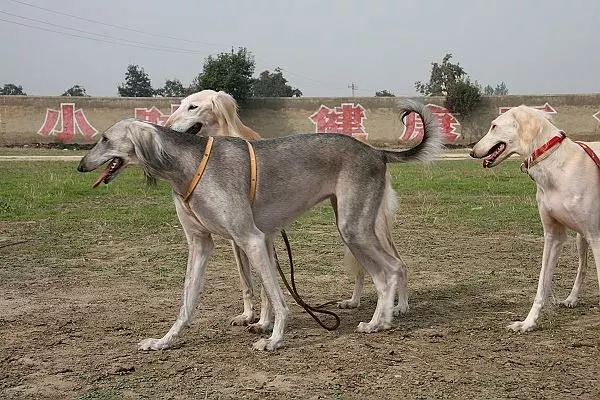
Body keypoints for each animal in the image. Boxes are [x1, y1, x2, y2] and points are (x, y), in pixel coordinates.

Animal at [77, 100, 442, 350]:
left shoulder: (250, 238)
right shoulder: (204, 244)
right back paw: (380, 320)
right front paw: (164, 341)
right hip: (353, 228)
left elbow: (278, 298)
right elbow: (188, 301)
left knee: (392, 269)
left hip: (355, 228)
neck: (189, 163)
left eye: (105, 139)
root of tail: (376, 151)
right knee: (384, 273)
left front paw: (274, 339)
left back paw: (386, 318)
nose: (80, 166)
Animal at [474, 105, 600, 332]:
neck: (556, 165)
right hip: (581, 238)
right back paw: (572, 298)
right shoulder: (553, 235)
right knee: (583, 267)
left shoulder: (597, 236)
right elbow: (542, 284)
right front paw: (527, 323)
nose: (472, 151)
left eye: (494, 126)